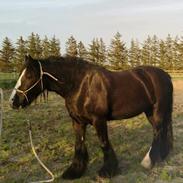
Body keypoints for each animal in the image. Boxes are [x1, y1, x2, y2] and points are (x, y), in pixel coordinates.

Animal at [9, 55, 173, 179]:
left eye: (29, 75)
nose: (13, 101)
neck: (80, 85)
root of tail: (165, 75)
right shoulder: (77, 122)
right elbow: (79, 145)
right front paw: (74, 171)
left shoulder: (98, 120)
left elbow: (104, 143)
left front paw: (107, 171)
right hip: (150, 112)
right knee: (160, 131)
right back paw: (161, 155)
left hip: (157, 111)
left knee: (157, 132)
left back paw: (148, 161)